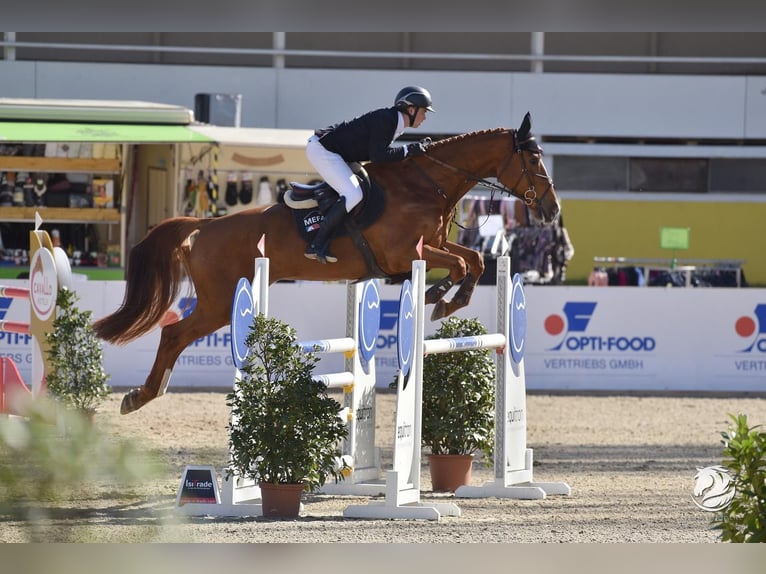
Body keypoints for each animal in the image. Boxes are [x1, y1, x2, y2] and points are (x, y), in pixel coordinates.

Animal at [96, 112, 560, 416]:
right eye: (534, 160)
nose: (553, 210)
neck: (425, 184)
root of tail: (202, 226)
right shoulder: (408, 253)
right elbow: (463, 266)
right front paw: (439, 298)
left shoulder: (435, 245)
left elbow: (475, 259)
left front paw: (443, 299)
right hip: (219, 302)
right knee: (174, 334)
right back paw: (140, 396)